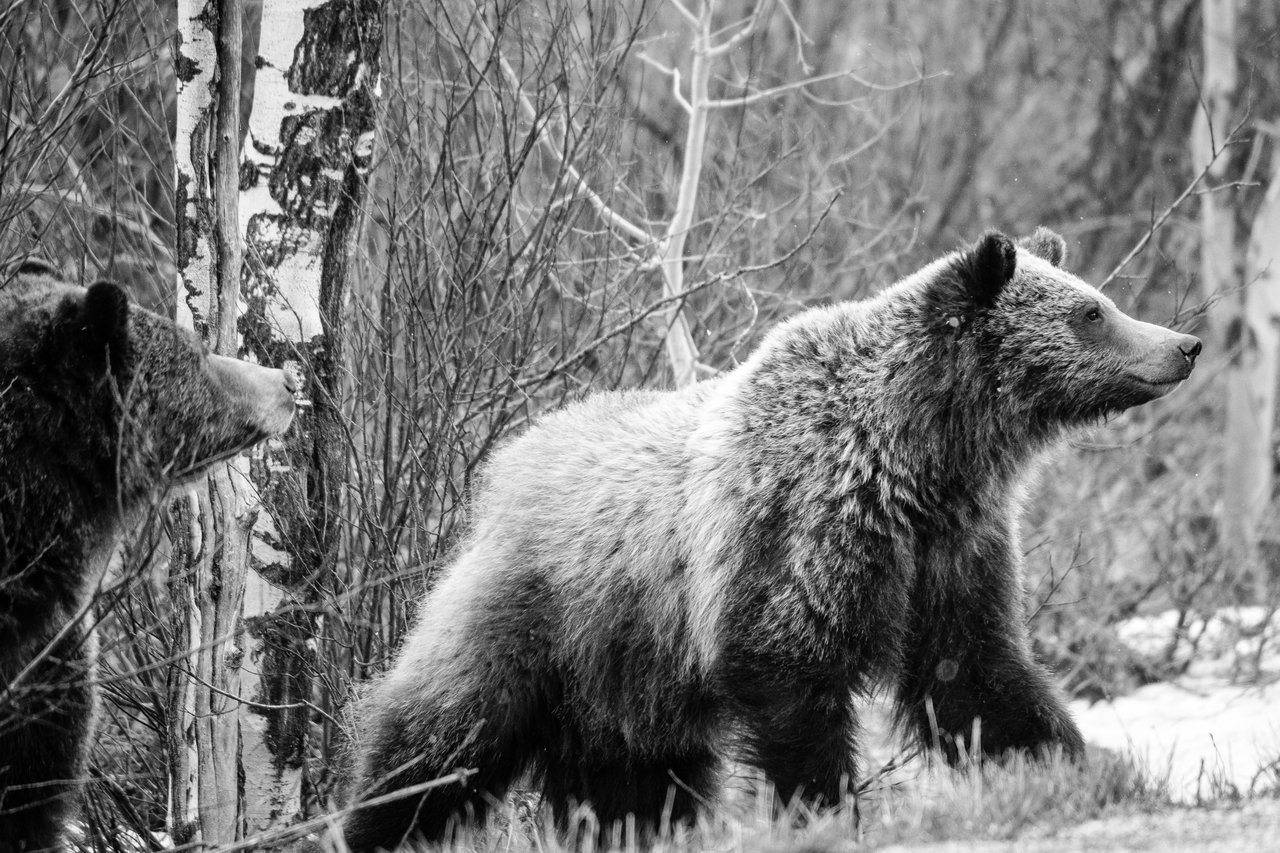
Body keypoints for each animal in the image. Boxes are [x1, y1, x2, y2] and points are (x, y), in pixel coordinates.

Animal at [337, 229, 1201, 852]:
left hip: (628, 681)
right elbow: (795, 681)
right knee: (444, 736)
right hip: (542, 609)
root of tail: (504, 461)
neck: (921, 457)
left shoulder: (950, 551)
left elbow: (976, 675)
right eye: (1091, 311)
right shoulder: (799, 535)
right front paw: (824, 810)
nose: (1182, 344)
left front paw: (1073, 766)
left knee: (637, 786)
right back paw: (371, 823)